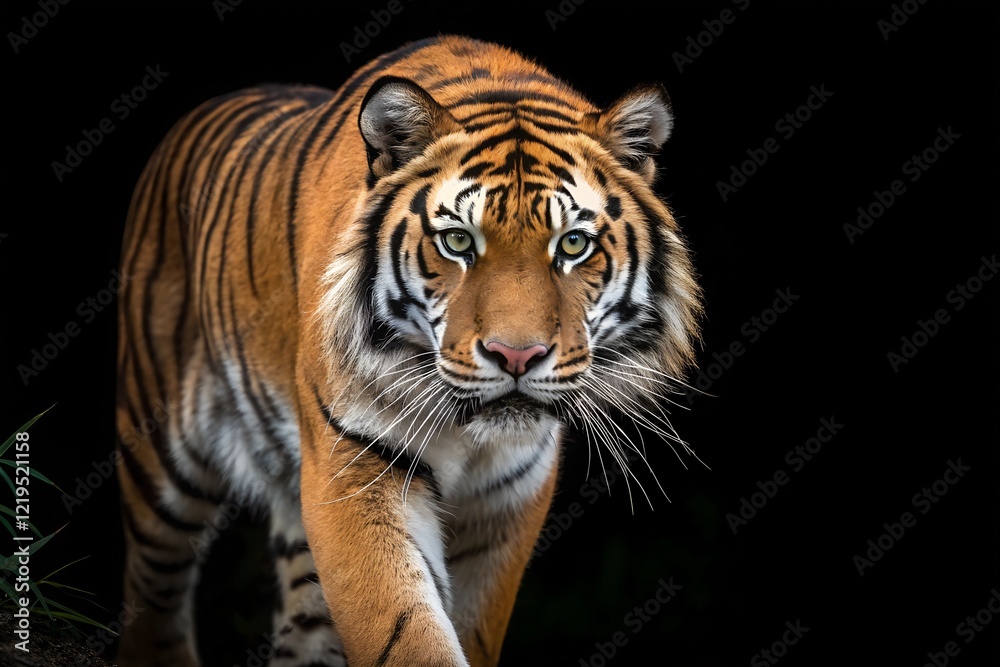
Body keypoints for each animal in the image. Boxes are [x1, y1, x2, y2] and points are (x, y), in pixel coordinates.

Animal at [114, 34, 702, 667]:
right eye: (458, 241)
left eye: (572, 244)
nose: (516, 357)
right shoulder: (354, 467)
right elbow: (404, 630)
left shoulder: (510, 498)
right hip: (159, 456)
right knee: (153, 593)